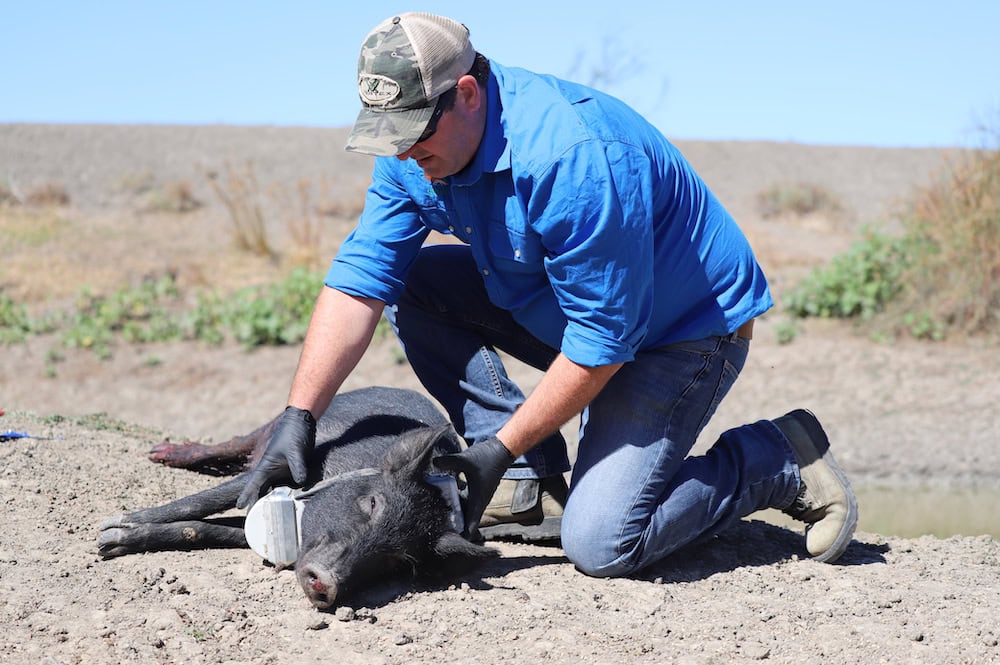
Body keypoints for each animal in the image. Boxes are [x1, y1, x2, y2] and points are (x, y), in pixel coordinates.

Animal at [97, 384, 496, 608]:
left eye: (400, 560)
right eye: (372, 504)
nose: (327, 583)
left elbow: (207, 529)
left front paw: (113, 541)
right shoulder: (280, 469)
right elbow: (202, 500)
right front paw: (109, 532)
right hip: (276, 427)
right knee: (235, 443)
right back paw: (159, 453)